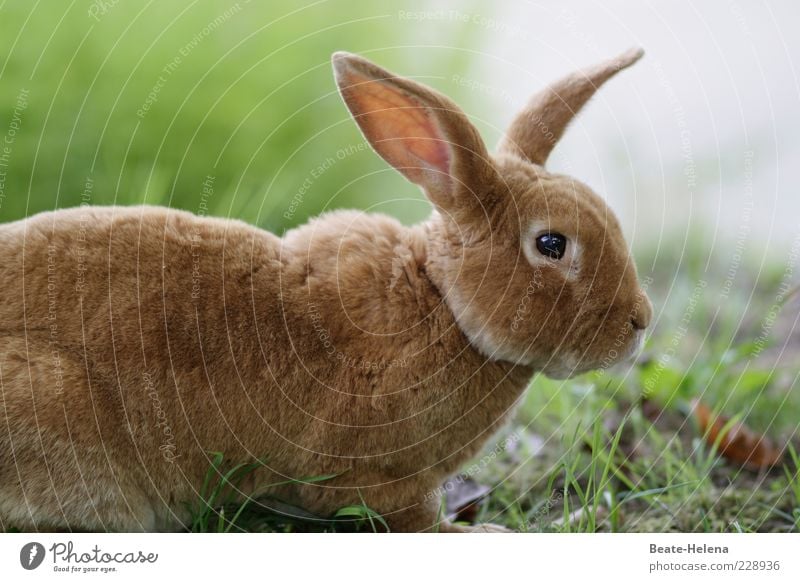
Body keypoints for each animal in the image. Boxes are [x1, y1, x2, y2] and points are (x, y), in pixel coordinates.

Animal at [0, 49, 648, 532]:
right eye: (551, 245)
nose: (639, 323)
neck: (442, 302)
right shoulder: (382, 481)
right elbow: (415, 520)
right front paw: (481, 530)